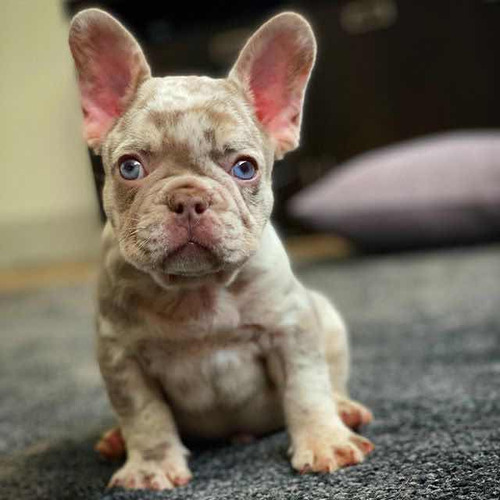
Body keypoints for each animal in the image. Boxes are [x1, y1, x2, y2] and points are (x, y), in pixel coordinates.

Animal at [69, 8, 376, 492]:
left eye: (245, 168)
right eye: (130, 167)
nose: (188, 198)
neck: (195, 290)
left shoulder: (291, 330)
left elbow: (307, 390)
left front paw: (325, 442)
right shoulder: (122, 358)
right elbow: (144, 416)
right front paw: (151, 466)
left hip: (326, 318)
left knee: (333, 380)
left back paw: (344, 411)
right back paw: (115, 439)